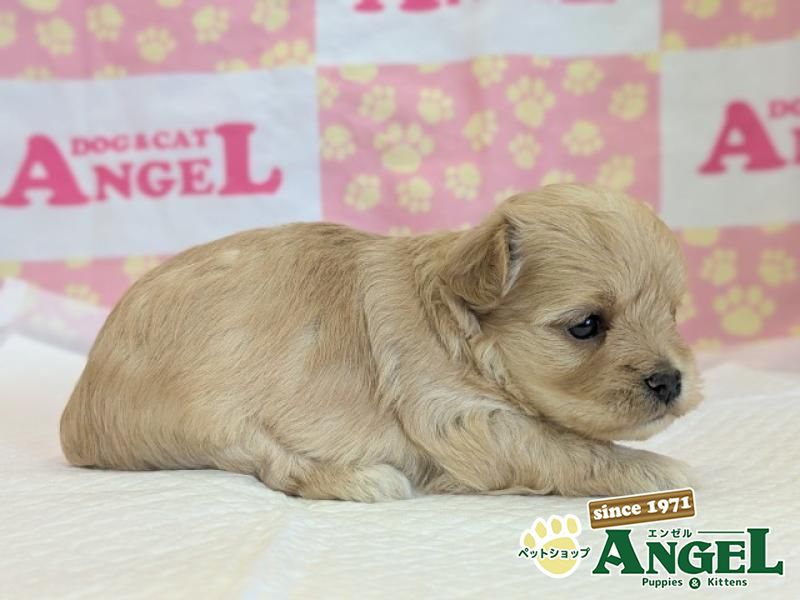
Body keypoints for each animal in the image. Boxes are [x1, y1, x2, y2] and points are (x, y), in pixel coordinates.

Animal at [60, 184, 701, 502]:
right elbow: (565, 448)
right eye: (586, 325)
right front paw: (654, 469)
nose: (671, 381)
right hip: (213, 413)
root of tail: (76, 415)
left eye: (672, 313)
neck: (461, 329)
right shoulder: (458, 419)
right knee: (273, 465)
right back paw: (361, 478)